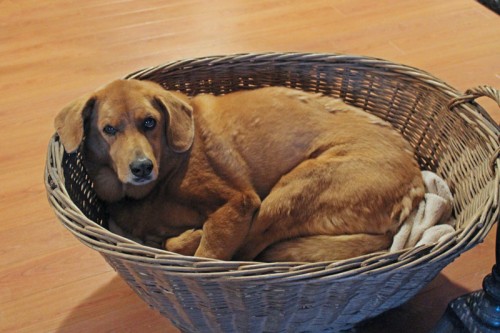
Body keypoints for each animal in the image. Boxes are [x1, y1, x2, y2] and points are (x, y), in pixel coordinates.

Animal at [54, 79, 424, 260]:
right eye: (109, 129)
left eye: (150, 122)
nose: (142, 168)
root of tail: (416, 184)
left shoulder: (237, 202)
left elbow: (210, 255)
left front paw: (192, 240)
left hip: (291, 191)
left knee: (248, 251)